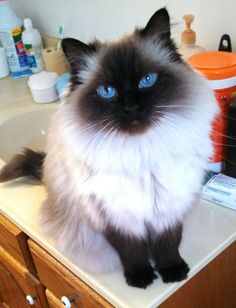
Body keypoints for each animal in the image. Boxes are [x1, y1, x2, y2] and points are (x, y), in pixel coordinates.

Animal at [0, 9, 219, 288]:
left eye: (147, 80)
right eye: (107, 91)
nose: (131, 109)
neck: (140, 153)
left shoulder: (169, 204)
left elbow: (167, 244)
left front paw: (173, 272)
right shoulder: (115, 215)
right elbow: (132, 251)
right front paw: (140, 278)